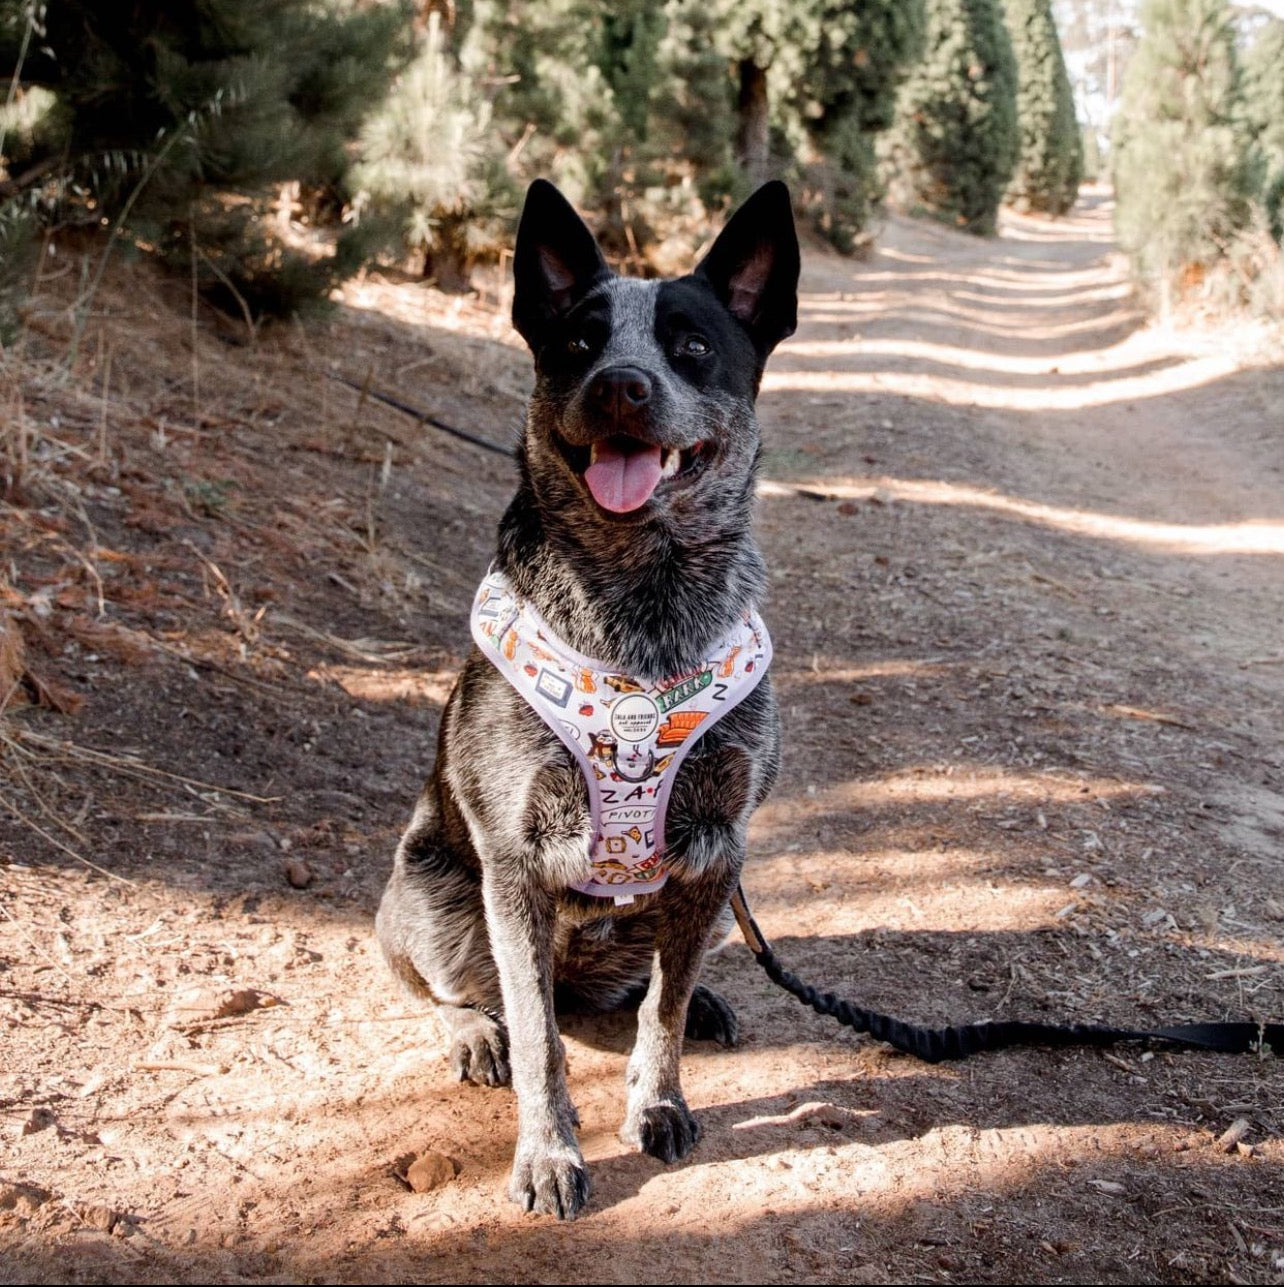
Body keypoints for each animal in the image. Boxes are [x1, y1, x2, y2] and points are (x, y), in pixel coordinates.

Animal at [375, 178, 797, 1214]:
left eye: (692, 345)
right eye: (577, 341)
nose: (620, 385)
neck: (641, 608)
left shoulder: (716, 848)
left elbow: (665, 1013)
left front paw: (658, 1099)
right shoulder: (515, 864)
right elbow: (540, 1045)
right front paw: (548, 1153)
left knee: (639, 988)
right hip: (434, 889)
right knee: (457, 990)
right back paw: (471, 1031)